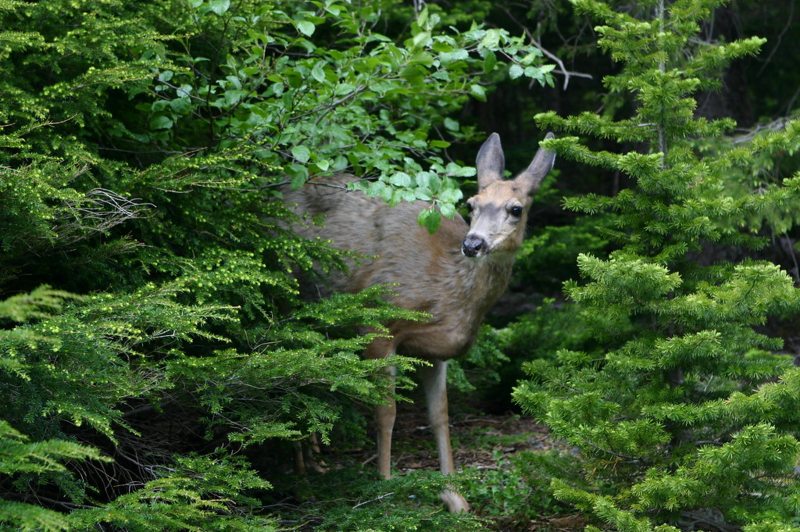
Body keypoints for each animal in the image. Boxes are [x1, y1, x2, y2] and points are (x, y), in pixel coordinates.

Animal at [286, 132, 556, 512]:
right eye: (471, 204)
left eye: (515, 209)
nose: (473, 243)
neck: (449, 294)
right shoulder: (378, 322)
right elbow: (386, 411)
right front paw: (385, 488)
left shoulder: (435, 350)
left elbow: (439, 415)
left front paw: (454, 495)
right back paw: (301, 473)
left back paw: (314, 460)